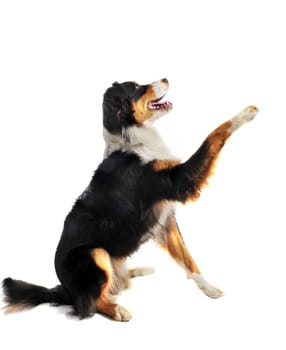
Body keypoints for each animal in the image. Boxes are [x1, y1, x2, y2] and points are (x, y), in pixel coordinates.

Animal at [1, 78, 258, 320]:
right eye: (135, 87)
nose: (165, 78)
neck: (134, 140)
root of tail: (63, 290)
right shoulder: (177, 180)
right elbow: (214, 135)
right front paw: (246, 113)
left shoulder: (165, 220)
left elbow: (188, 258)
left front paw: (210, 289)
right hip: (94, 253)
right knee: (90, 302)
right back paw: (117, 310)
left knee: (118, 282)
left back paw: (138, 271)